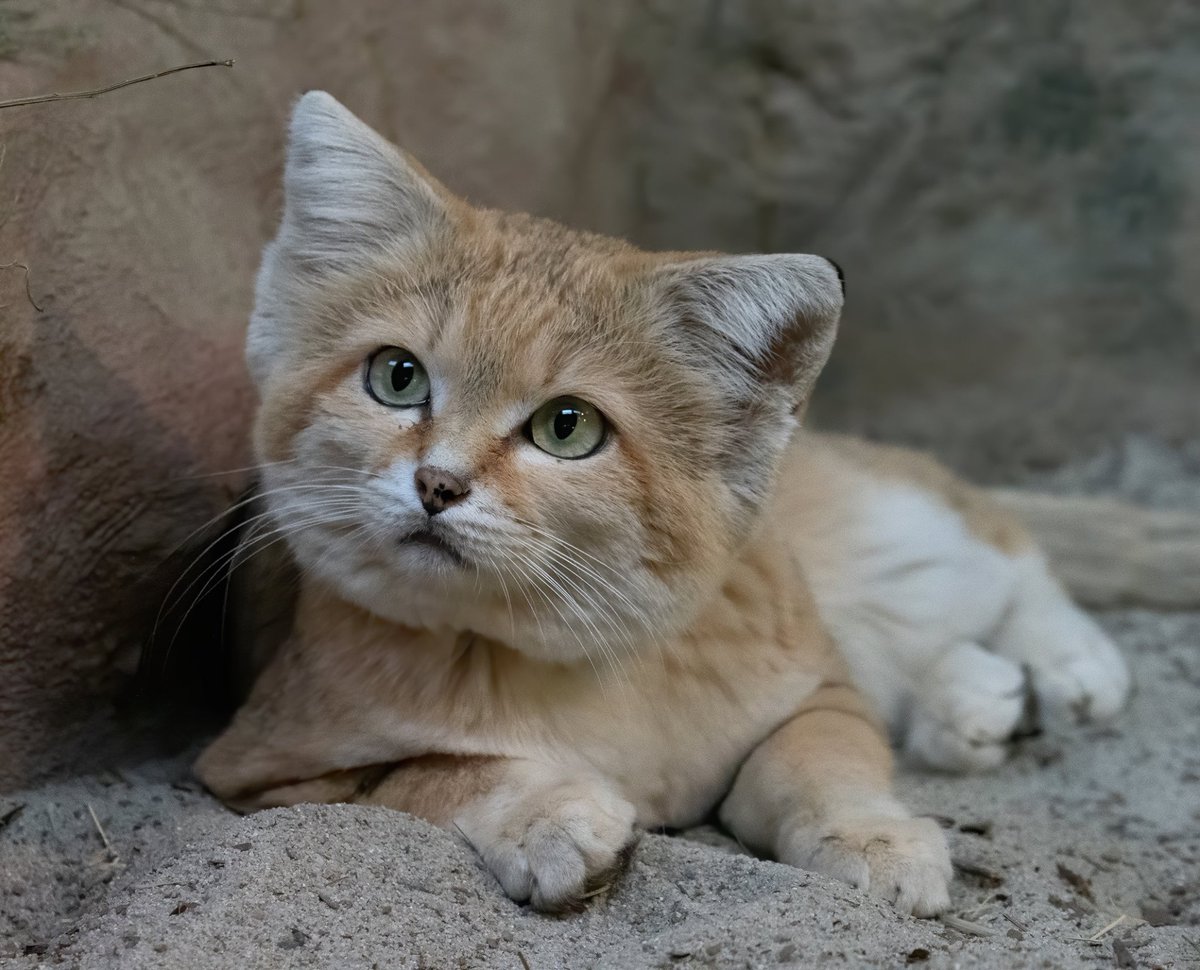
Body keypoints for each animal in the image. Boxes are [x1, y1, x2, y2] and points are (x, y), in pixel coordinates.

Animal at [194, 93, 1142, 917]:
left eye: (567, 427)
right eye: (397, 377)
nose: (437, 484)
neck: (554, 659)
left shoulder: (817, 691)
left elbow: (820, 758)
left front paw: (871, 834)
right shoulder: (265, 771)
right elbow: (430, 770)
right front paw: (548, 814)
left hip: (889, 538)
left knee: (1003, 546)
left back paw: (1067, 662)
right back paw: (970, 698)